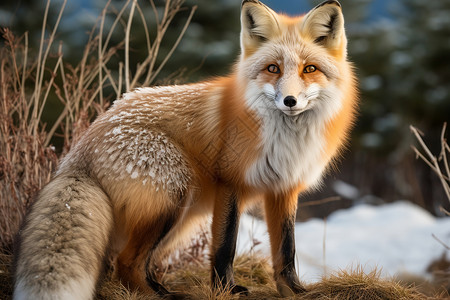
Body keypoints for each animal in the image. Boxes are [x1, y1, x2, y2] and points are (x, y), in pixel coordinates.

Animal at [14, 0, 356, 298]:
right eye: (273, 68)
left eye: (309, 69)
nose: (289, 101)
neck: (283, 138)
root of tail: (82, 146)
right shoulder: (230, 181)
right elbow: (225, 247)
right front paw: (225, 291)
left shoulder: (284, 188)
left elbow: (286, 249)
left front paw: (295, 291)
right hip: (173, 198)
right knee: (126, 262)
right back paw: (163, 296)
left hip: (182, 218)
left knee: (128, 262)